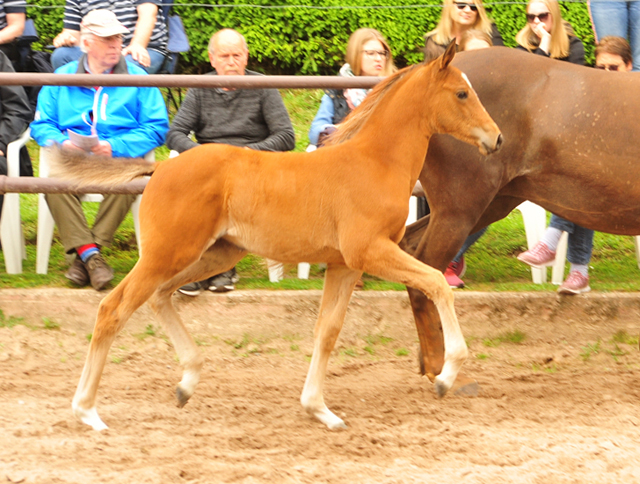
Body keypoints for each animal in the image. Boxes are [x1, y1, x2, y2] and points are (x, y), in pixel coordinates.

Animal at [47, 43, 502, 432]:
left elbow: (327, 331)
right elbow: (437, 282)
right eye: (462, 93)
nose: (496, 138)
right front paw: (446, 375)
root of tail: (160, 168)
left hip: (214, 254)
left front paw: (320, 410)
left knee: (159, 297)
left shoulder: (343, 264)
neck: (375, 162)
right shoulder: (370, 251)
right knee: (114, 308)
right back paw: (87, 411)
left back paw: (186, 383)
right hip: (168, 253)